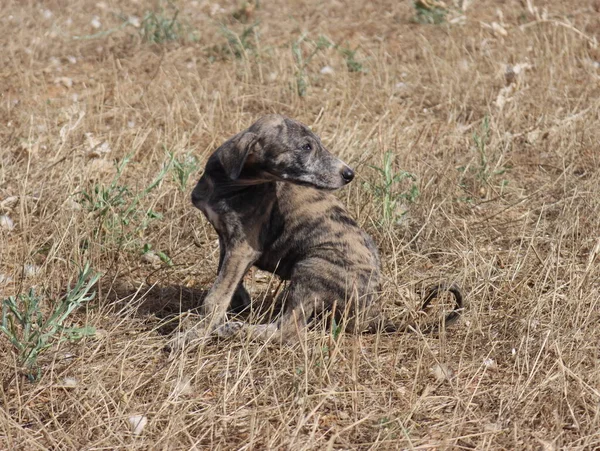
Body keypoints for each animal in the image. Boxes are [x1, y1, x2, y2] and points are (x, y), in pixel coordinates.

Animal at [183, 115, 464, 344]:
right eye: (306, 147)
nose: (349, 174)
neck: (232, 182)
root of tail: (373, 314)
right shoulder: (228, 241)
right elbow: (226, 281)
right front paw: (235, 306)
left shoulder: (243, 247)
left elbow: (216, 296)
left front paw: (192, 335)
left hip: (311, 266)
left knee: (289, 330)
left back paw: (237, 330)